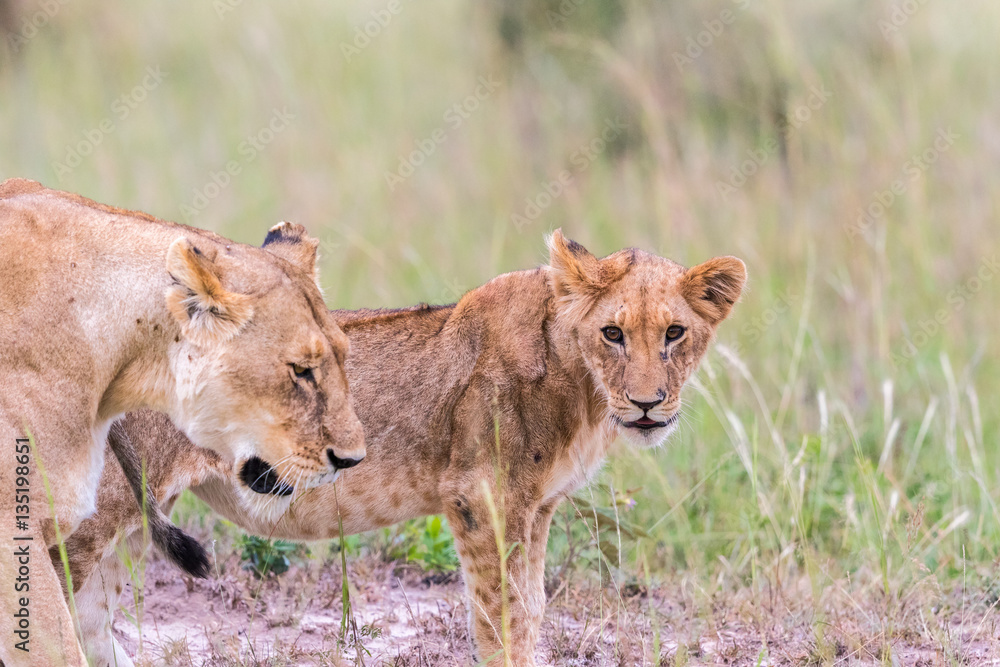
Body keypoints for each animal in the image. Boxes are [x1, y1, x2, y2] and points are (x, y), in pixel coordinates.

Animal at [62, 230, 745, 666]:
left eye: (674, 333)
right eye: (613, 333)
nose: (649, 404)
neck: (583, 391)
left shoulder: (538, 507)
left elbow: (531, 609)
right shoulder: (480, 499)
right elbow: (500, 616)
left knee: (90, 618)